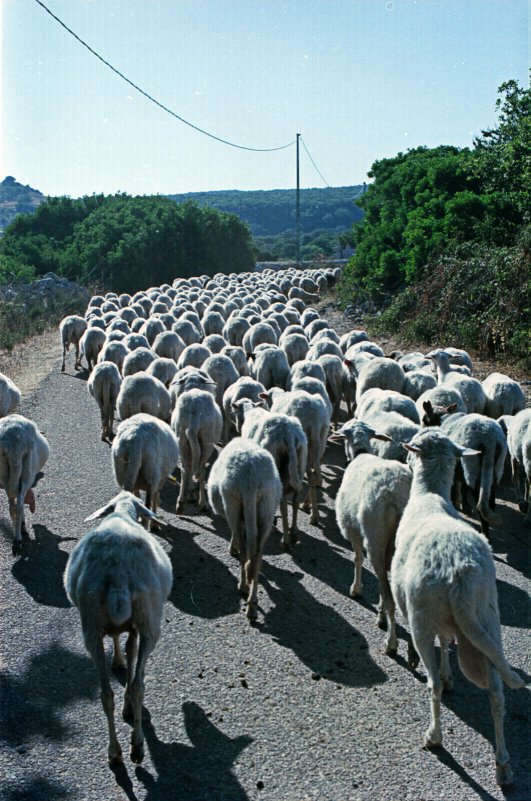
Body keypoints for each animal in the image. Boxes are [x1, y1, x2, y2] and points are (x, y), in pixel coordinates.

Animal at [63, 490, 172, 764]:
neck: (122, 511)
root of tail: (118, 575)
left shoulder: (124, 626)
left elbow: (123, 646)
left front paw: (119, 662)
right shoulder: (136, 627)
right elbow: (131, 654)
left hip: (90, 624)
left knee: (105, 694)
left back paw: (114, 752)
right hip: (149, 619)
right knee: (139, 685)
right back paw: (137, 746)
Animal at [207, 438, 282, 620]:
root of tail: (250, 478)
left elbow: (236, 534)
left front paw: (232, 547)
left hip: (232, 503)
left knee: (244, 551)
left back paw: (242, 587)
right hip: (266, 508)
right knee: (256, 557)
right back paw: (252, 605)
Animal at [388, 428, 524, 784]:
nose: (404, 459)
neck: (430, 496)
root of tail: (459, 571)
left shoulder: (415, 612)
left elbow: (437, 650)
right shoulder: (452, 623)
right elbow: (447, 641)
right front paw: (451, 675)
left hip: (423, 616)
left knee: (432, 683)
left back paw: (434, 736)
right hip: (487, 617)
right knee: (496, 693)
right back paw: (503, 764)